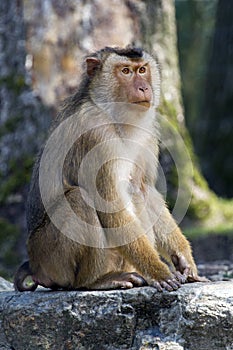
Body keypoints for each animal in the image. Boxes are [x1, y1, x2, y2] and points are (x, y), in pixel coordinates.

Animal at [14, 46, 208, 292]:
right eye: (125, 71)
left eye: (142, 70)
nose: (144, 87)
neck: (113, 115)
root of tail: (35, 265)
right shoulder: (96, 135)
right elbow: (110, 203)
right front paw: (159, 271)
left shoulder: (147, 135)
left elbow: (143, 188)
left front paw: (183, 258)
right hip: (50, 257)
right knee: (79, 199)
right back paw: (94, 281)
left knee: (135, 193)